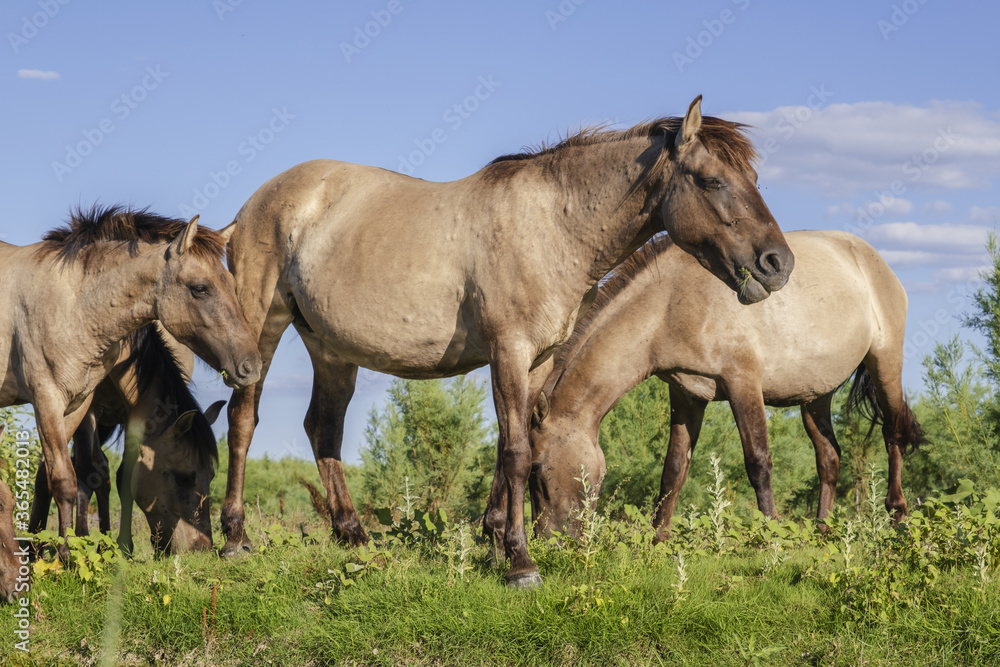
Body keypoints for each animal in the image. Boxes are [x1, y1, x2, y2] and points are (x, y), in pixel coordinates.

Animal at [32, 326, 228, 556]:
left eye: (212, 475)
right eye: (184, 477)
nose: (202, 549)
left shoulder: (133, 416)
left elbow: (124, 475)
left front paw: (122, 546)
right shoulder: (85, 406)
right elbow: (85, 472)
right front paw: (79, 542)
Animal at [223, 96, 792, 588]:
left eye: (755, 179)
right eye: (712, 180)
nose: (778, 263)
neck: (554, 226)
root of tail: (251, 207)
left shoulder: (536, 360)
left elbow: (506, 444)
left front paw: (495, 540)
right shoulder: (508, 351)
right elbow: (516, 449)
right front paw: (520, 562)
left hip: (331, 349)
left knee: (324, 429)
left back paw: (355, 538)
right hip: (261, 329)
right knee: (243, 419)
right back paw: (234, 538)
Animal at [528, 232, 924, 540]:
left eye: (538, 473)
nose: (549, 541)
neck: (672, 301)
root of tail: (872, 259)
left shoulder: (742, 384)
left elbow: (758, 463)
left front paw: (770, 535)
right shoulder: (687, 394)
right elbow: (673, 470)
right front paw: (658, 541)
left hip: (885, 364)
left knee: (892, 434)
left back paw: (898, 517)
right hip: (816, 395)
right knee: (829, 457)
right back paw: (822, 531)